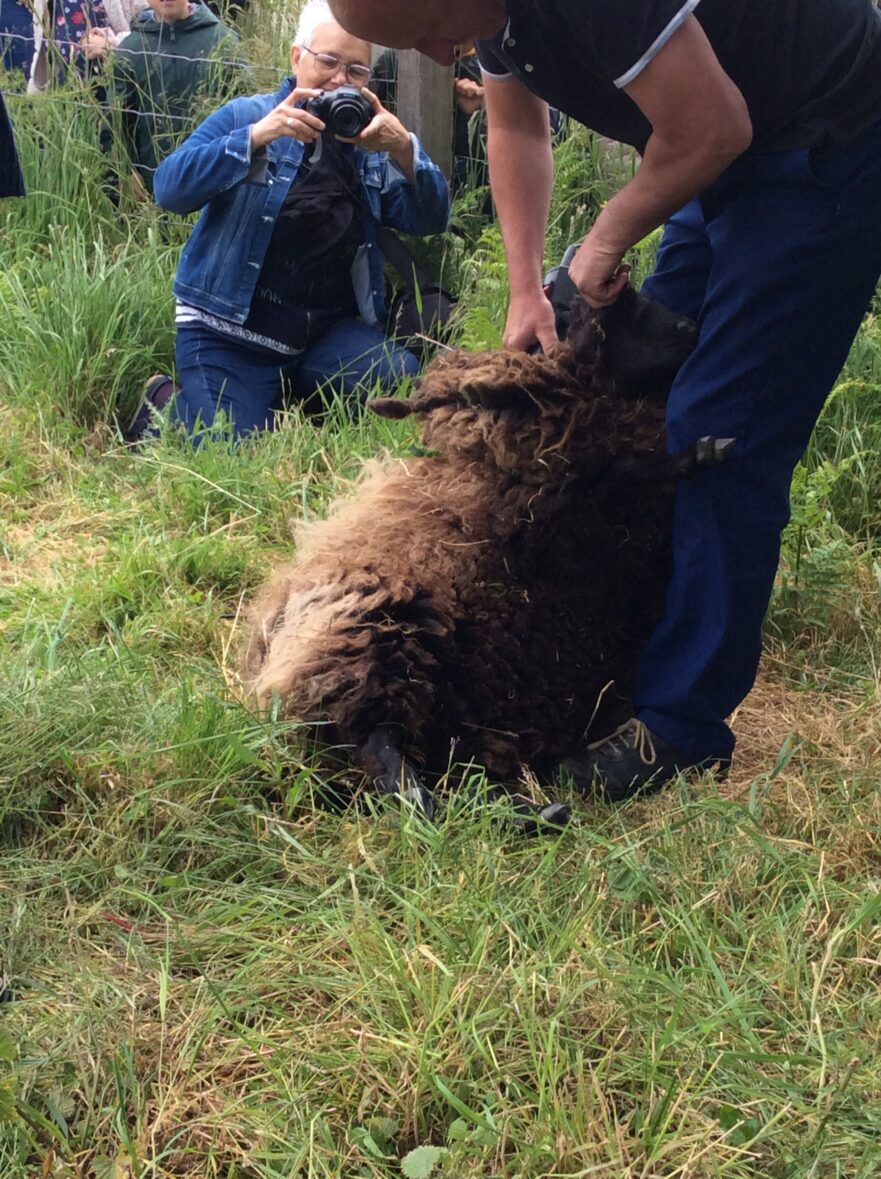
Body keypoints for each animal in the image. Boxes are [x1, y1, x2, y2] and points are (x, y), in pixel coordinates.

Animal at [241, 288, 731, 830]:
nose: (691, 328)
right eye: (615, 311)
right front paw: (697, 453)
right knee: (386, 762)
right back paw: (522, 813)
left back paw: (521, 809)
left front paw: (696, 452)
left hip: (445, 710)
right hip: (372, 634)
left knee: (427, 770)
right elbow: (608, 467)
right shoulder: (545, 476)